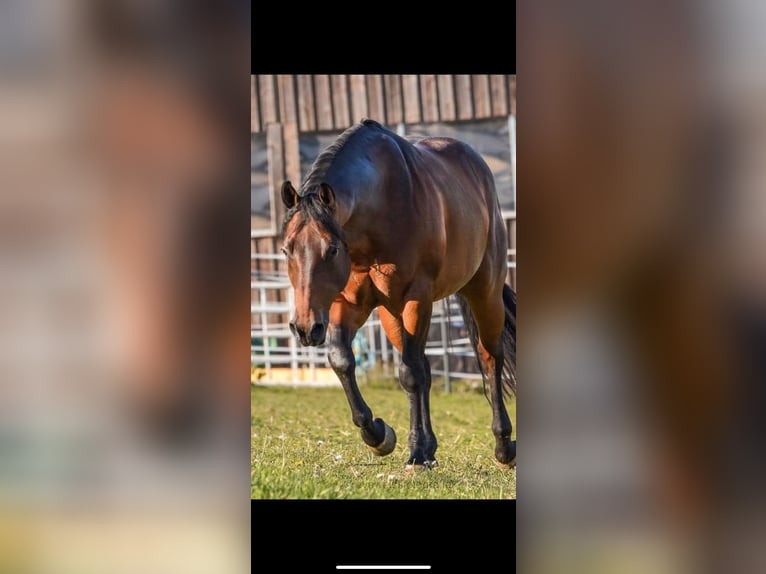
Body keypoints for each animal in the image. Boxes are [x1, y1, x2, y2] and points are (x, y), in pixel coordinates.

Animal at [280, 119, 516, 470]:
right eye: (286, 250)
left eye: (332, 249)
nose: (305, 328)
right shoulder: (348, 302)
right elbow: (342, 360)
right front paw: (378, 434)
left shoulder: (416, 300)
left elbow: (409, 374)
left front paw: (415, 453)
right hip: (390, 314)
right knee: (425, 368)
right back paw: (430, 448)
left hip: (484, 292)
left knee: (489, 358)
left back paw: (503, 446)